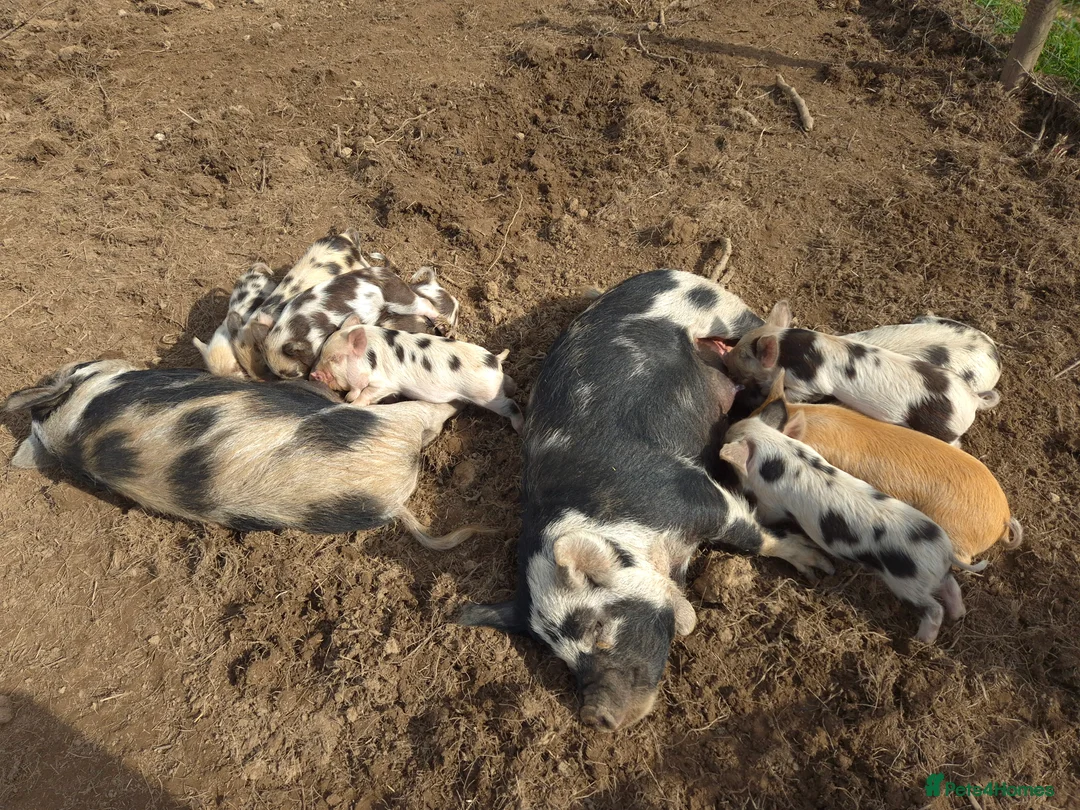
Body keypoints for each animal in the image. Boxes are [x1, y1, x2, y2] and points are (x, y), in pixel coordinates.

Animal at [310, 321, 524, 432]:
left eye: (335, 358)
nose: (313, 373)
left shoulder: (386, 383)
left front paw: (352, 403)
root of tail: (494, 360)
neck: (370, 356)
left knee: (511, 405)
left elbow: (367, 392)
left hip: (487, 396)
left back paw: (519, 428)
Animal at [455, 269, 834, 731]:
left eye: (598, 627)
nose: (594, 715)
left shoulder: (691, 493)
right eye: (558, 655)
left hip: (727, 312)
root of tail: (656, 274)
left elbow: (754, 535)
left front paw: (817, 565)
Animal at [720, 398, 989, 643]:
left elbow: (767, 514)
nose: (722, 438)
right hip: (936, 576)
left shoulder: (771, 501)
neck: (778, 451)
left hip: (908, 584)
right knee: (952, 587)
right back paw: (958, 615)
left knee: (934, 609)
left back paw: (921, 641)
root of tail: (944, 552)